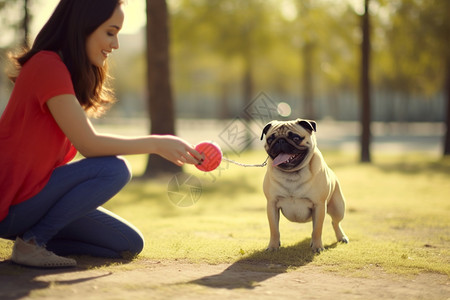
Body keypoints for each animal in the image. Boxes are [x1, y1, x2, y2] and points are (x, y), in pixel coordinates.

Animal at [260, 118, 348, 252]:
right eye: (270, 139)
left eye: (296, 138)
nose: (280, 140)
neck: (292, 173)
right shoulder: (272, 204)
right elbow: (274, 229)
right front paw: (273, 246)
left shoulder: (319, 205)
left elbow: (318, 230)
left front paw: (317, 247)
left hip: (338, 208)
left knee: (335, 223)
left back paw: (341, 237)